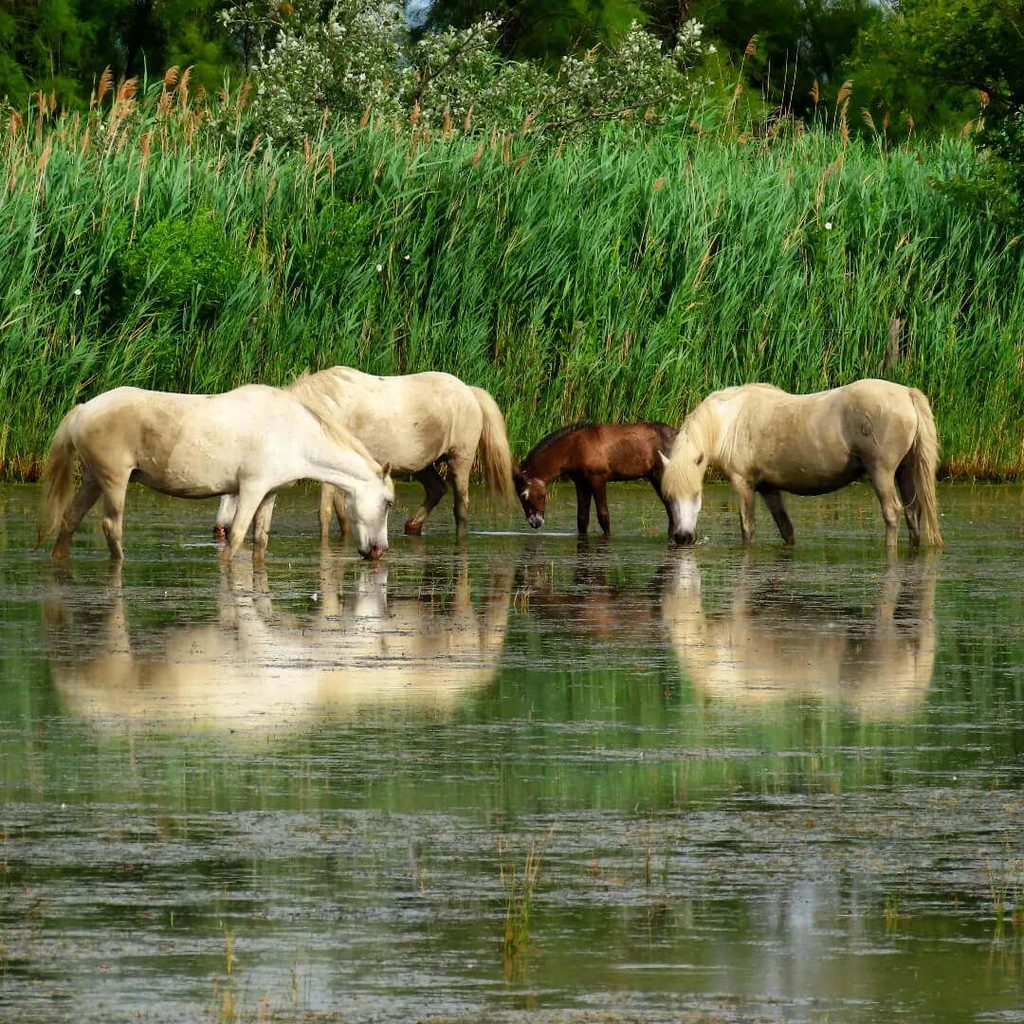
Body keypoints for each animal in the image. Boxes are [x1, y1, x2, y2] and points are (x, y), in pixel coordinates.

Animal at [38, 382, 394, 563]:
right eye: (389, 502)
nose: (379, 550)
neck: (294, 432)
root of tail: (85, 409)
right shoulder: (251, 489)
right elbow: (236, 537)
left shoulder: (269, 494)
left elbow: (260, 540)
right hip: (114, 480)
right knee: (112, 527)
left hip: (94, 479)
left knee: (70, 518)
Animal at [215, 366, 514, 542]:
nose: (219, 529)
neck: (322, 412)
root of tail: (470, 391)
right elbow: (341, 512)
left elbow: (324, 512)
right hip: (422, 465)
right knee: (435, 489)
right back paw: (411, 526)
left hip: (459, 459)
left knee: (461, 505)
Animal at [513, 422, 678, 535]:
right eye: (520, 497)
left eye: (528, 495)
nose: (535, 522)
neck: (574, 449)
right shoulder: (580, 482)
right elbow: (582, 518)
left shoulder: (597, 479)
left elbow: (603, 516)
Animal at [660, 380, 943, 550]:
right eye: (668, 496)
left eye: (696, 494)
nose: (683, 537)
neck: (730, 422)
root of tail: (906, 393)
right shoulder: (769, 488)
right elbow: (786, 528)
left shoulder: (743, 483)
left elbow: (747, 528)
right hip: (905, 471)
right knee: (913, 512)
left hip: (881, 472)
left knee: (893, 512)